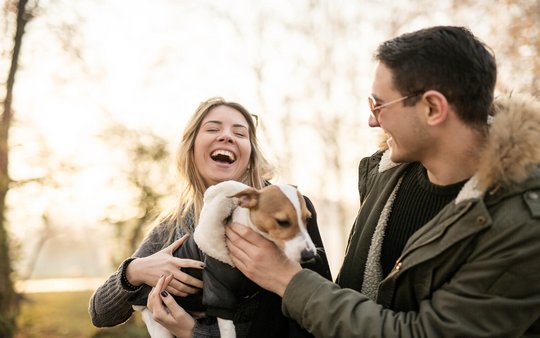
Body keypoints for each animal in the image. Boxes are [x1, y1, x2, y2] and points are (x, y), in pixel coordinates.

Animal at [132, 181, 316, 338]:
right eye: (282, 222)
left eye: (308, 219)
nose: (310, 255)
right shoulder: (218, 289)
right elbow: (228, 329)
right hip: (159, 325)